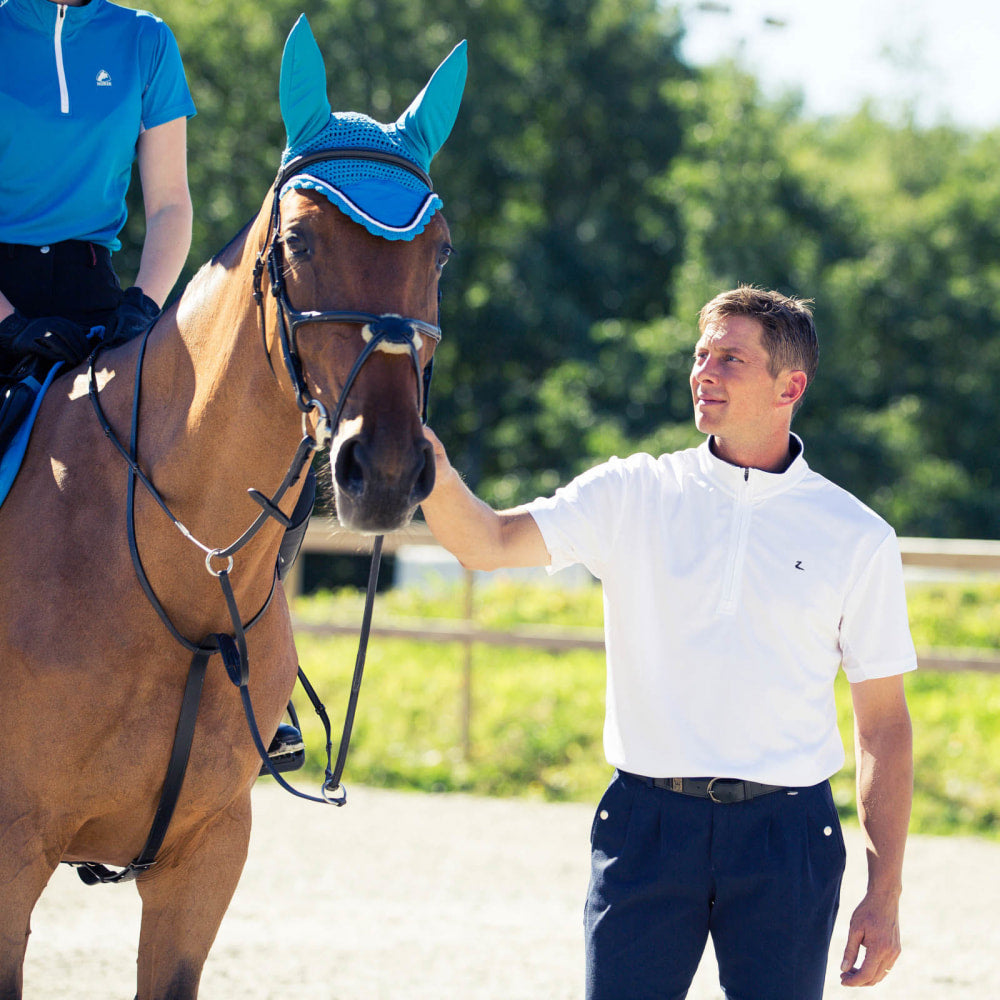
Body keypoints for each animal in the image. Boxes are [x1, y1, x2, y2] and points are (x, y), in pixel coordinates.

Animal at [0, 17, 466, 1000]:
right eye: (298, 241)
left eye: (439, 250)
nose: (386, 468)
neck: (174, 569)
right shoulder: (10, 854)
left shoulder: (206, 860)